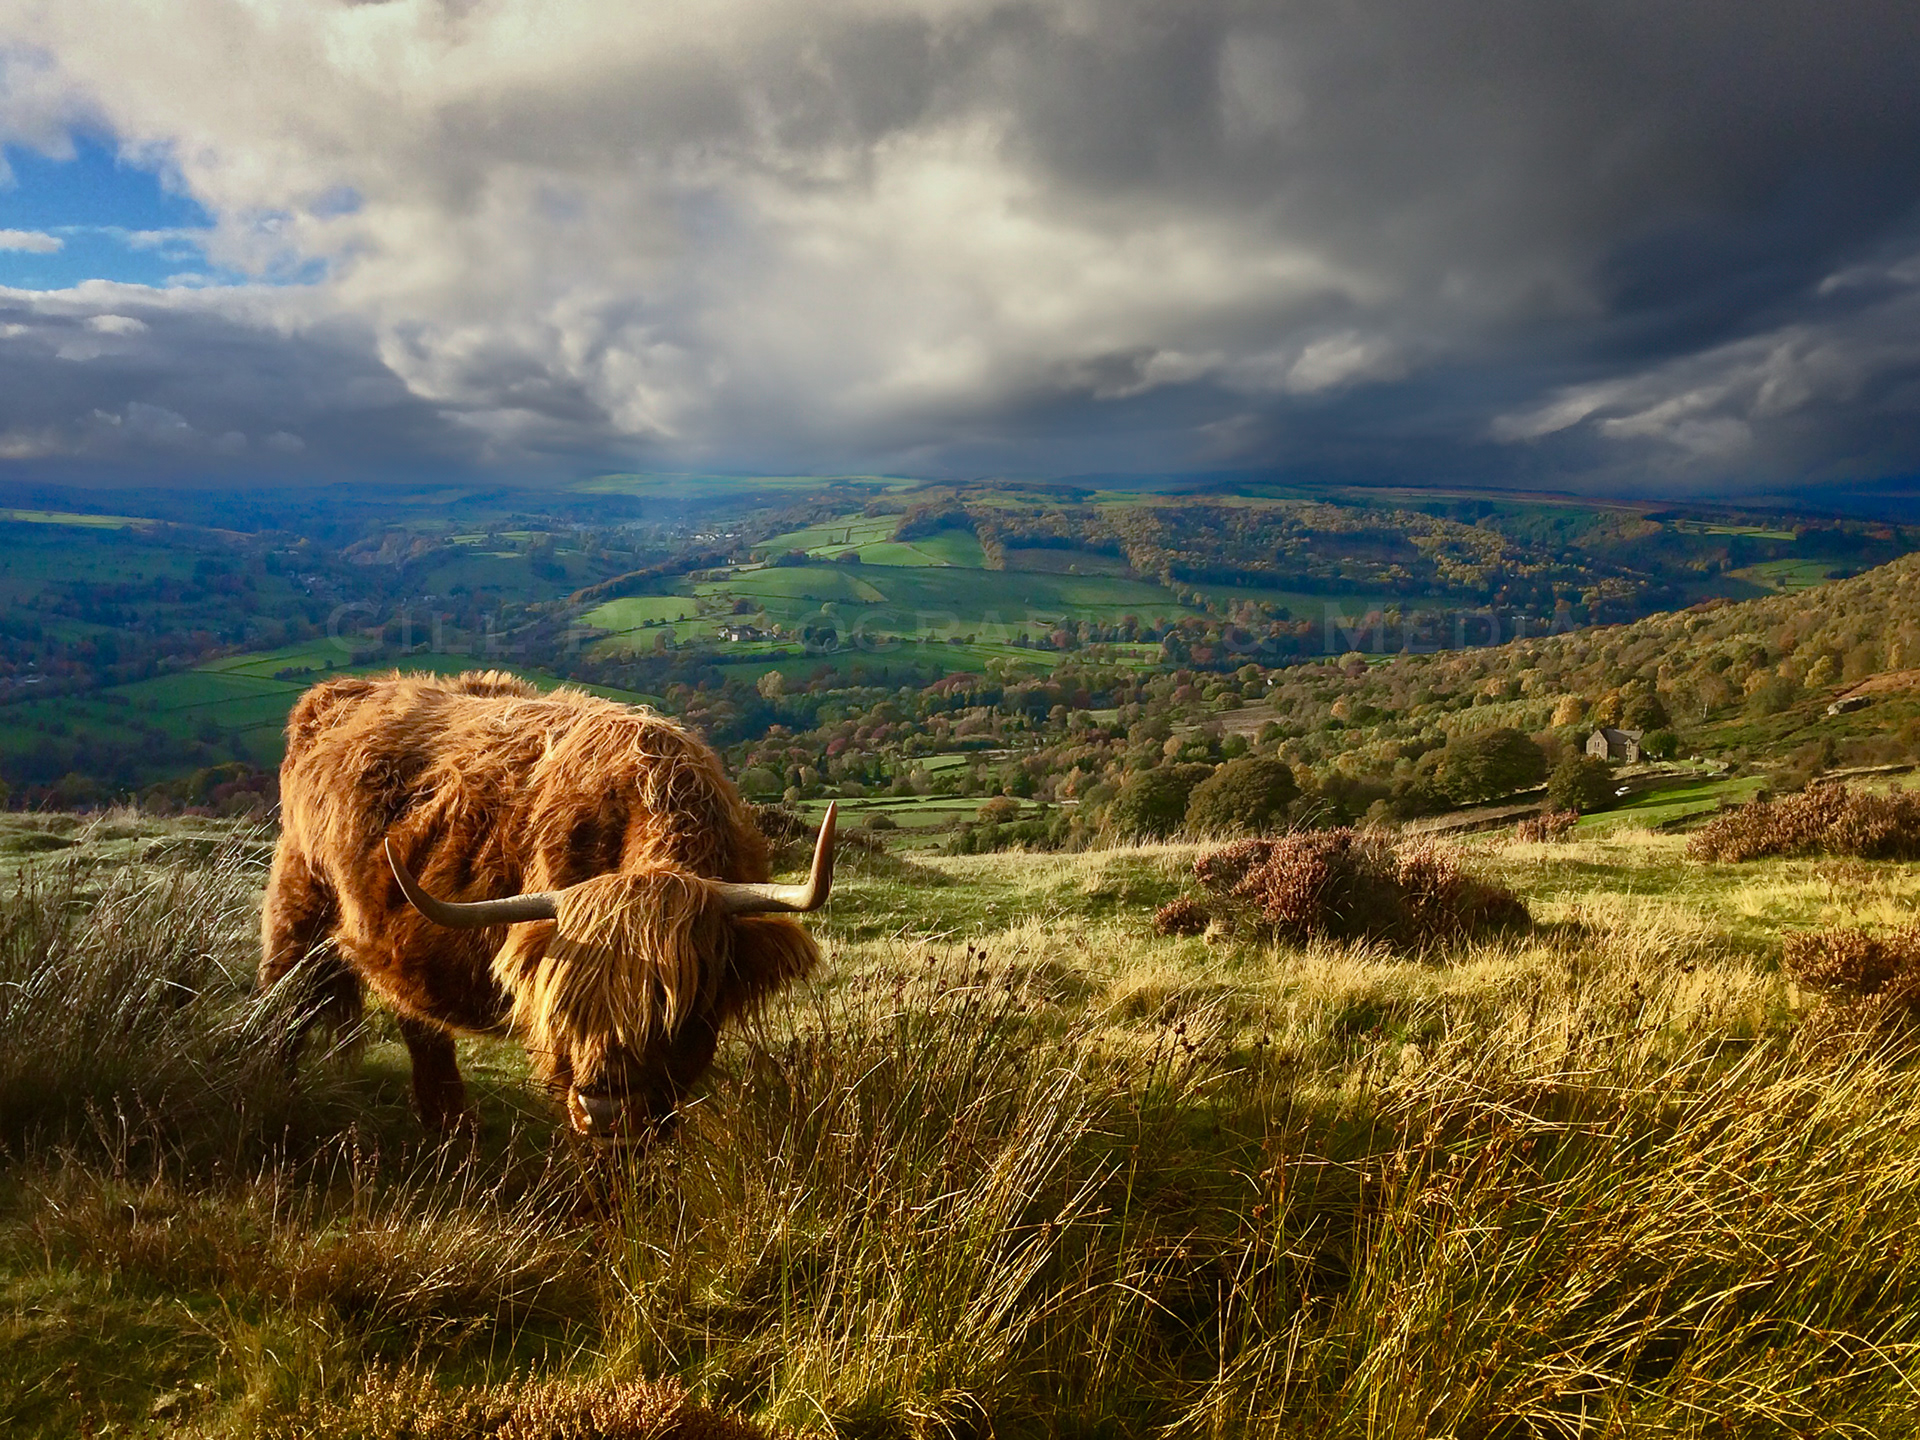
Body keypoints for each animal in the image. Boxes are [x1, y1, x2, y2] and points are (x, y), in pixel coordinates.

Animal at [259, 669, 833, 1142]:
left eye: (670, 1008)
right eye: (565, 1008)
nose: (604, 1111)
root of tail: (338, 693)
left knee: (420, 1025)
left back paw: (451, 1131)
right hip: (297, 914)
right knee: (283, 1013)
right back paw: (276, 1105)